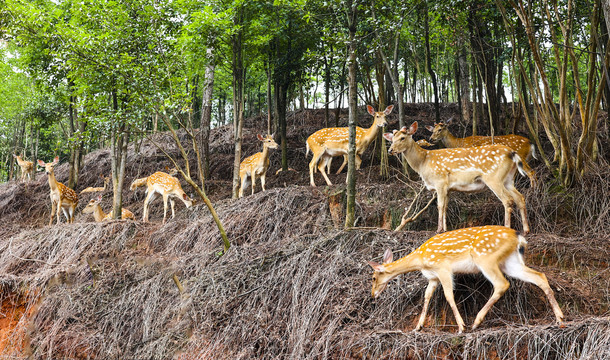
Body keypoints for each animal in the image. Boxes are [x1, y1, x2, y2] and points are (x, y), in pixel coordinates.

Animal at [364, 226, 564, 334]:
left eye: (373, 277)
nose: (373, 295)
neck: (421, 259)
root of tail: (518, 237)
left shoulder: (443, 268)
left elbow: (448, 295)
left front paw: (461, 326)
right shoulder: (433, 278)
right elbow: (427, 297)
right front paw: (418, 326)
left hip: (485, 258)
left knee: (502, 284)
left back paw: (476, 321)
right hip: (511, 262)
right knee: (539, 276)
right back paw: (560, 317)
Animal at [384, 124, 532, 235]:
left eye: (402, 138)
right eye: (392, 139)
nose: (390, 150)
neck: (423, 163)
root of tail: (512, 153)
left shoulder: (440, 181)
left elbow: (439, 205)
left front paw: (438, 229)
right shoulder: (448, 188)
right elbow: (445, 206)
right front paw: (445, 229)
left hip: (494, 178)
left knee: (508, 200)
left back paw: (507, 227)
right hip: (508, 179)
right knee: (520, 197)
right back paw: (526, 230)